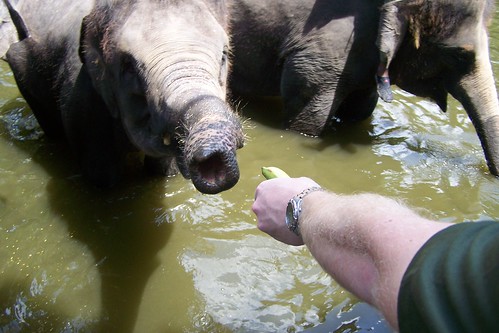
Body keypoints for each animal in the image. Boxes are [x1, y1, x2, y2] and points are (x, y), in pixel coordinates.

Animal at [1, 0, 244, 193]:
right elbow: (102, 176)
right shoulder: (81, 103)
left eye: (224, 55)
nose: (212, 158)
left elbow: (162, 170)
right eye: (128, 66)